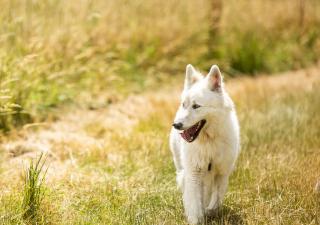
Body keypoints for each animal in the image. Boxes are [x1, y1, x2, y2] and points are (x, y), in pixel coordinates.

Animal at [169, 64, 239, 223]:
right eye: (184, 105)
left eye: (196, 106)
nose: (176, 125)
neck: (209, 140)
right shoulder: (194, 173)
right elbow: (194, 204)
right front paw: (197, 218)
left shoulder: (222, 173)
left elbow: (216, 199)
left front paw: (210, 212)